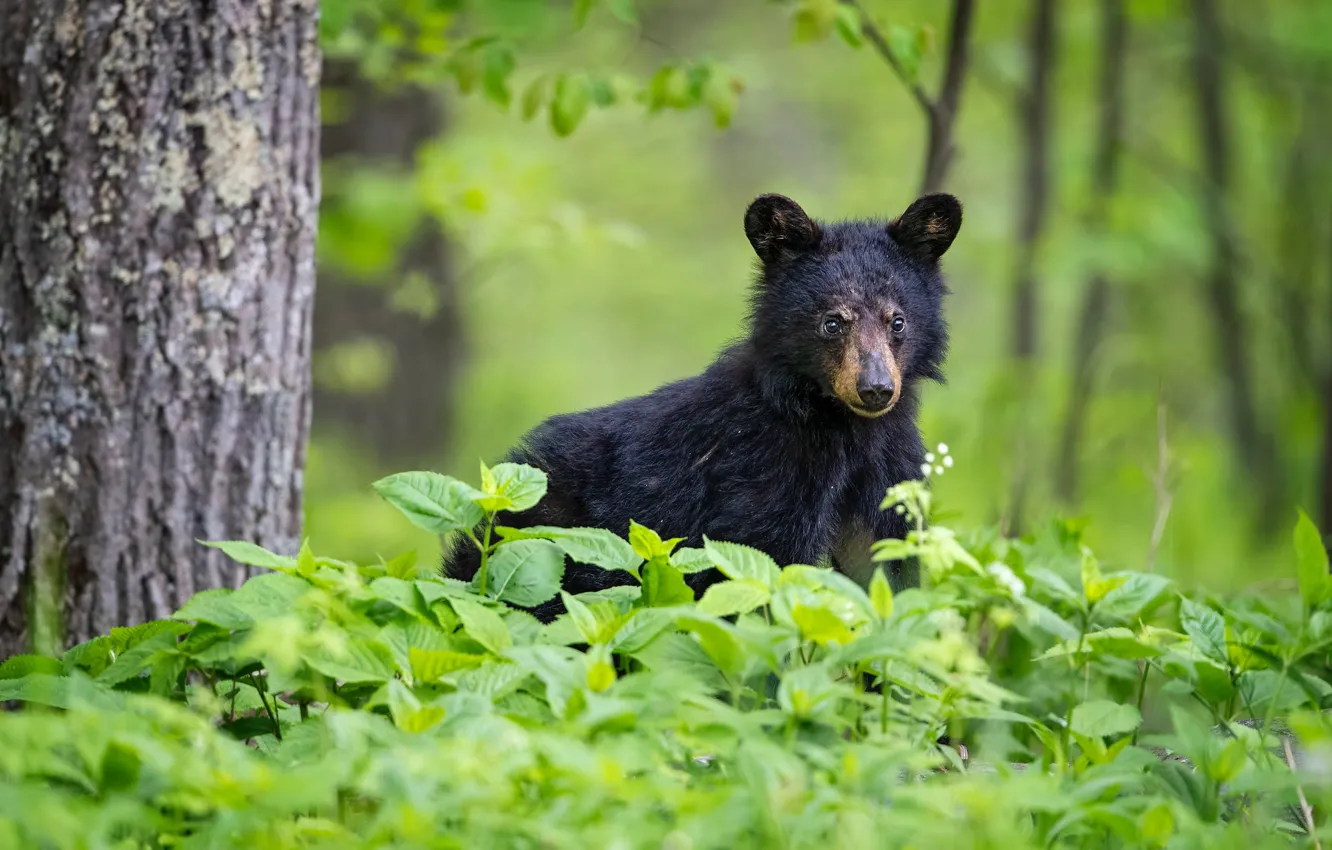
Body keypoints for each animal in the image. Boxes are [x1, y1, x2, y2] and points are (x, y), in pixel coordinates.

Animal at [444, 191, 962, 623]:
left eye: (897, 320)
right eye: (832, 322)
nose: (875, 389)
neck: (843, 428)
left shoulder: (890, 472)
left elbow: (886, 575)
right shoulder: (760, 478)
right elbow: (756, 581)